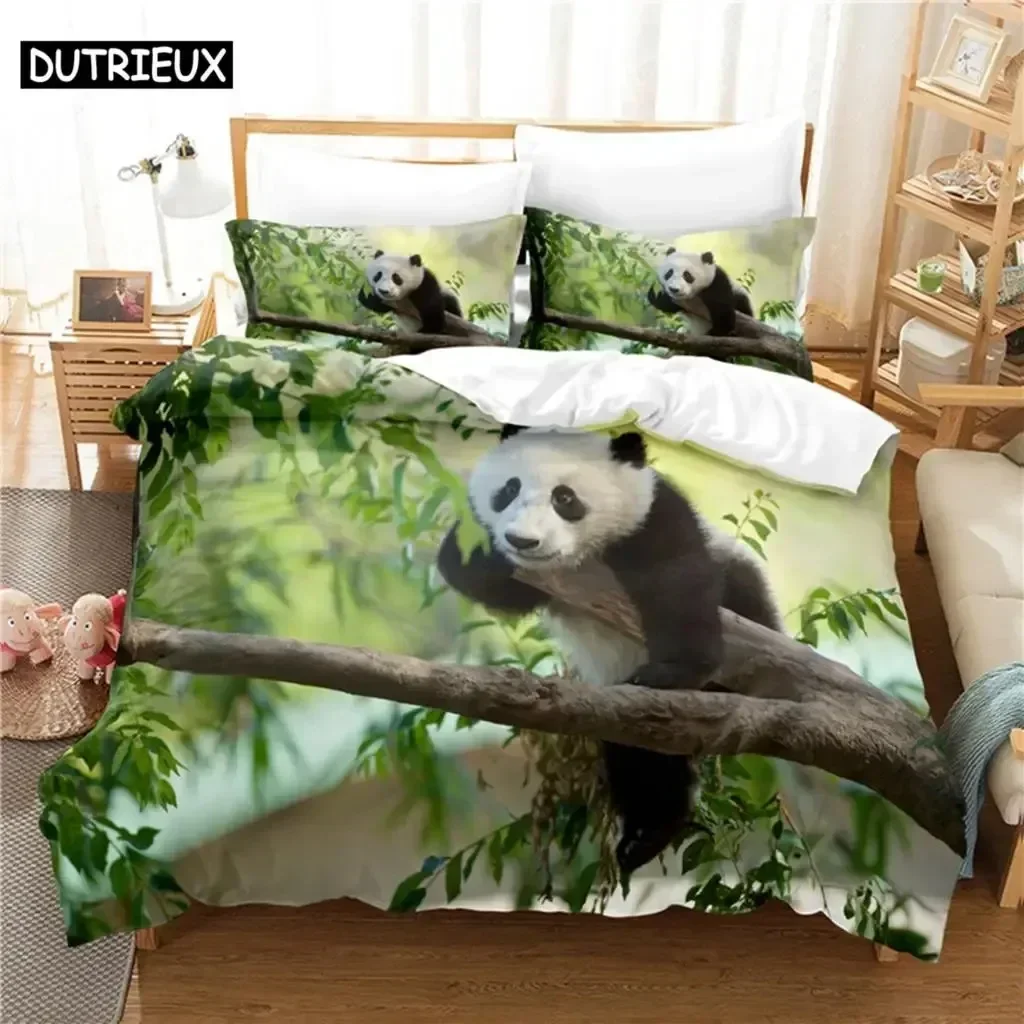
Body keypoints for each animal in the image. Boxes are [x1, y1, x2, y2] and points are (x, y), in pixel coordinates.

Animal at [436, 425, 783, 878]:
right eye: (509, 489)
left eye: (565, 498)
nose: (522, 540)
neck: (584, 554)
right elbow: (484, 579)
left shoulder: (654, 517)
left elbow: (677, 581)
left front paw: (673, 670)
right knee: (642, 762)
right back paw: (647, 834)